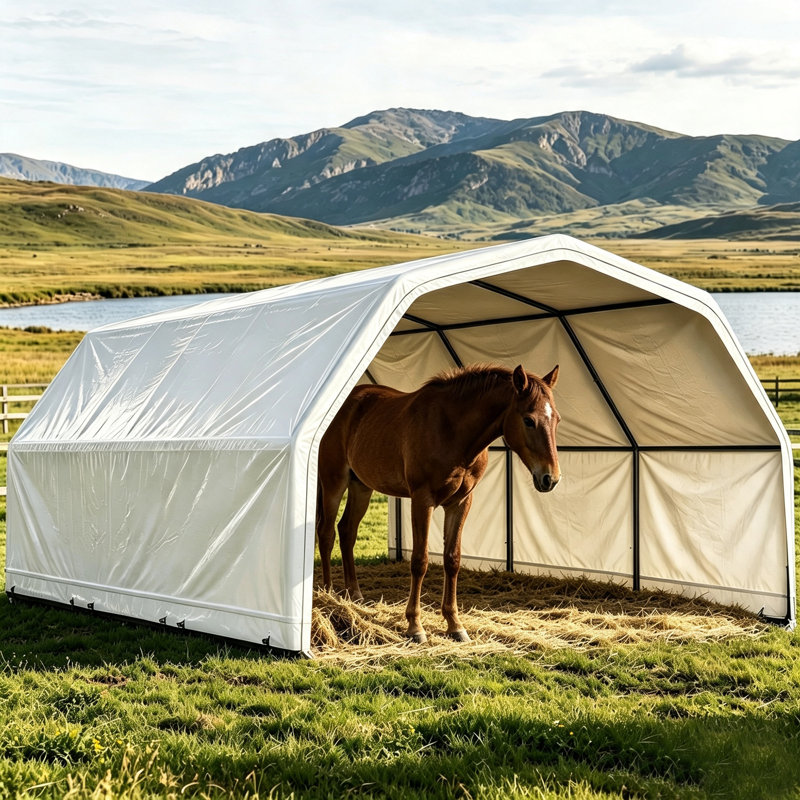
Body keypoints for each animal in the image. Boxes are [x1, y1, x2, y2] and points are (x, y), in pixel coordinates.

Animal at [316, 363, 561, 643]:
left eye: (556, 419)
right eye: (529, 420)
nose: (550, 478)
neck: (451, 429)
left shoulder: (460, 502)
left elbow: (452, 559)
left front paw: (455, 625)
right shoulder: (423, 500)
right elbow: (419, 561)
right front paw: (415, 626)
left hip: (361, 486)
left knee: (347, 531)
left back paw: (353, 595)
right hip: (334, 481)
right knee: (326, 533)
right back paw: (328, 594)